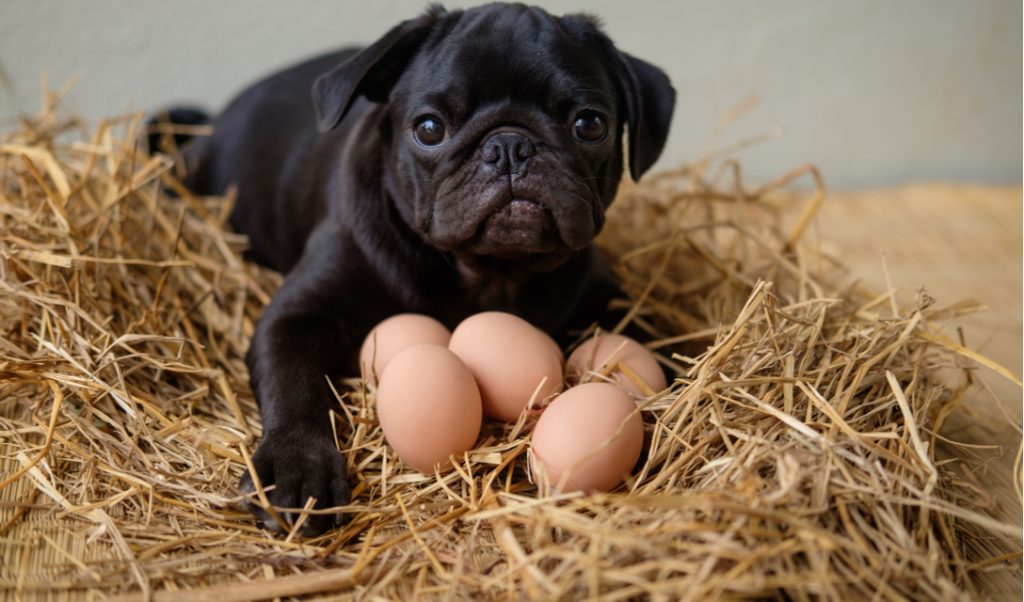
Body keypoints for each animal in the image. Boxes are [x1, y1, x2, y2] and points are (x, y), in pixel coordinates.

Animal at [180, 2, 675, 532]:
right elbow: (293, 384)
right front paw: (297, 465)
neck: (491, 274)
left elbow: (655, 335)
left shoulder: (608, 296)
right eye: (430, 129)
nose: (509, 146)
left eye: (589, 125)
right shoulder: (297, 316)